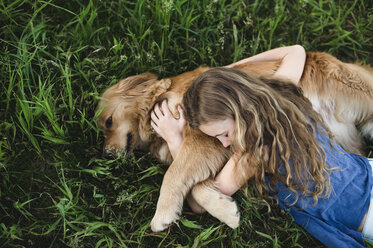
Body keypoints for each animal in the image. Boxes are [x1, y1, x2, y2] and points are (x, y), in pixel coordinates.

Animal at [96, 51, 372, 232]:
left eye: (108, 122)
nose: (106, 154)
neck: (159, 99)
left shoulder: (204, 139)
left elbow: (173, 174)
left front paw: (162, 213)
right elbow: (196, 187)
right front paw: (225, 210)